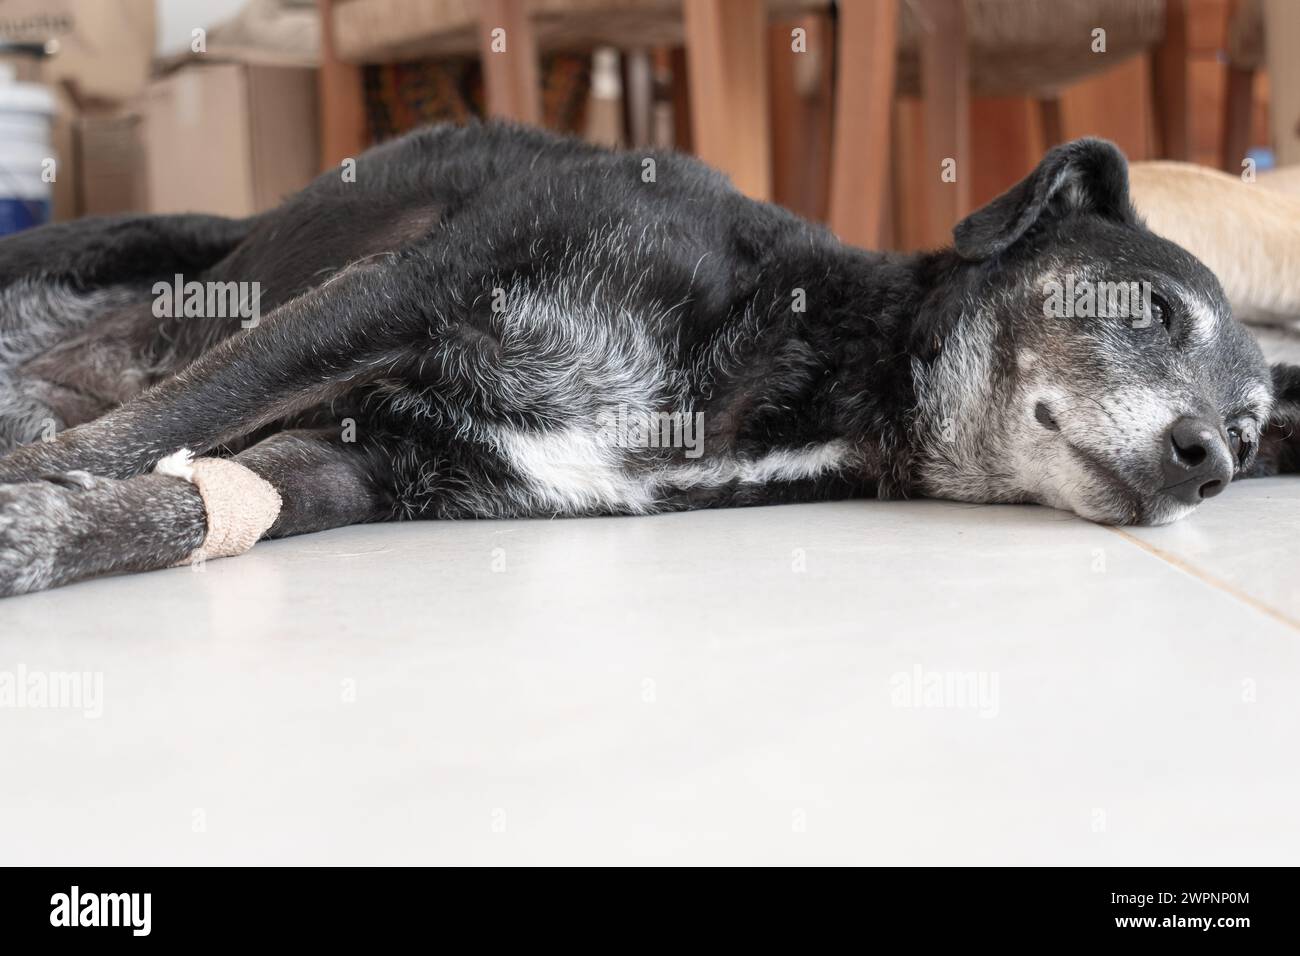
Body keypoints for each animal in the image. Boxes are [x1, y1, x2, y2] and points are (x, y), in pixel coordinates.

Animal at [0, 123, 1289, 595]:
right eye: (1149, 305)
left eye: (1248, 430)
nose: (1206, 463)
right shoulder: (406, 292)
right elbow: (165, 424)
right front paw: (25, 496)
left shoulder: (367, 460)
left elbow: (185, 501)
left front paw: (43, 533)